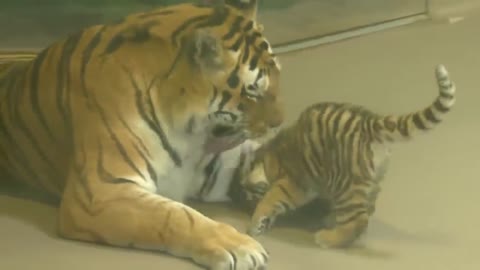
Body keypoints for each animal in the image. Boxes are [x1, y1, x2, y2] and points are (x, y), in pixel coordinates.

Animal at [0, 1, 284, 268]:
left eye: (278, 77)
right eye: (253, 91)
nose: (279, 123)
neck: (189, 133)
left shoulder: (215, 170)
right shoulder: (100, 192)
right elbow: (177, 215)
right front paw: (239, 246)